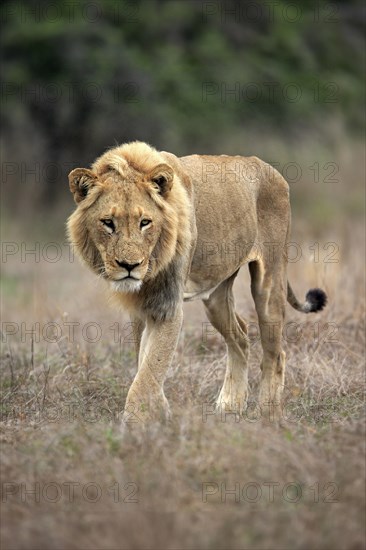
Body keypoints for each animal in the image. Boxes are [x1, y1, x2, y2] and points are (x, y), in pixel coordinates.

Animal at [67, 140, 328, 424]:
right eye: (108, 223)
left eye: (145, 222)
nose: (129, 266)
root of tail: (268, 167)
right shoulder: (141, 309)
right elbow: (144, 362)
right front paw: (159, 410)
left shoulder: (167, 306)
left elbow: (150, 368)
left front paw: (134, 422)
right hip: (216, 296)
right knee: (240, 336)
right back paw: (230, 406)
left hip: (269, 281)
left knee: (275, 353)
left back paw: (266, 415)